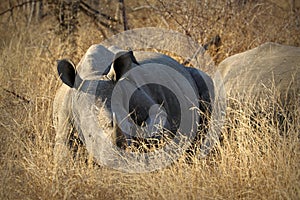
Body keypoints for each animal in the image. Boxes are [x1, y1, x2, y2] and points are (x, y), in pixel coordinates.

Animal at [53, 45, 213, 170]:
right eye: (89, 136)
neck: (93, 74)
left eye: (130, 127)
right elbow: (63, 154)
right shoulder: (65, 116)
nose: (115, 163)